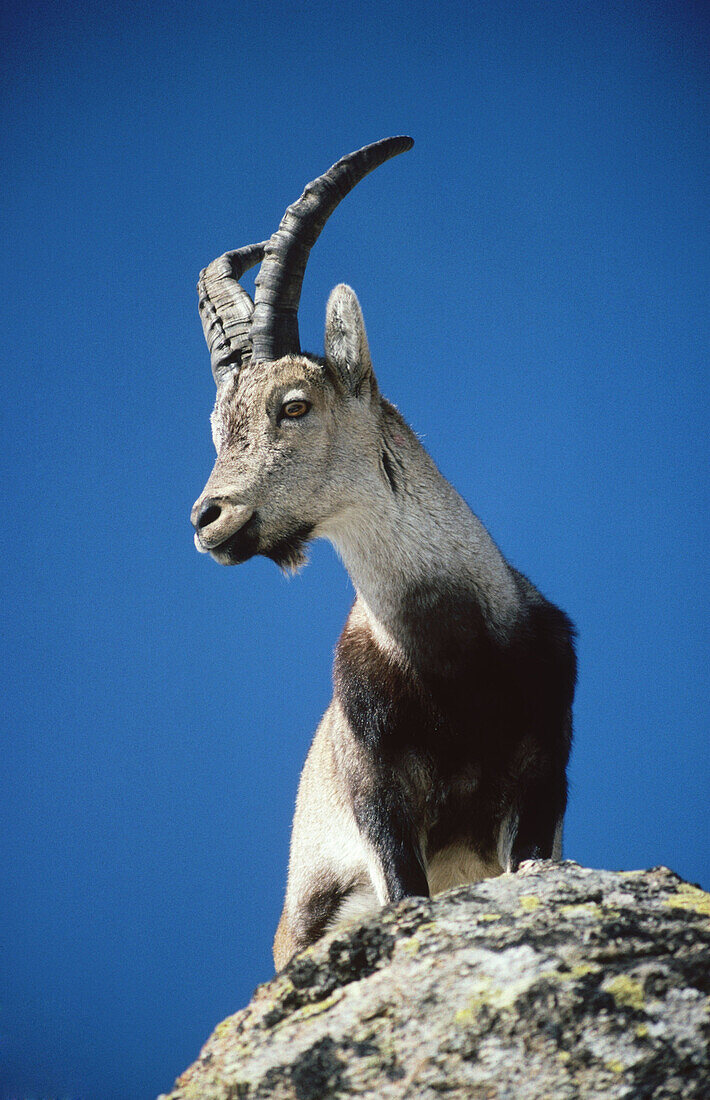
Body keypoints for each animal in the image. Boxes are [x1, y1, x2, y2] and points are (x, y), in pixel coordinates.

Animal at [189, 139, 576, 972]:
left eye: (294, 405)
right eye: (218, 427)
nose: (208, 519)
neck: (454, 661)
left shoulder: (541, 780)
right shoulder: (379, 801)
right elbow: (403, 888)